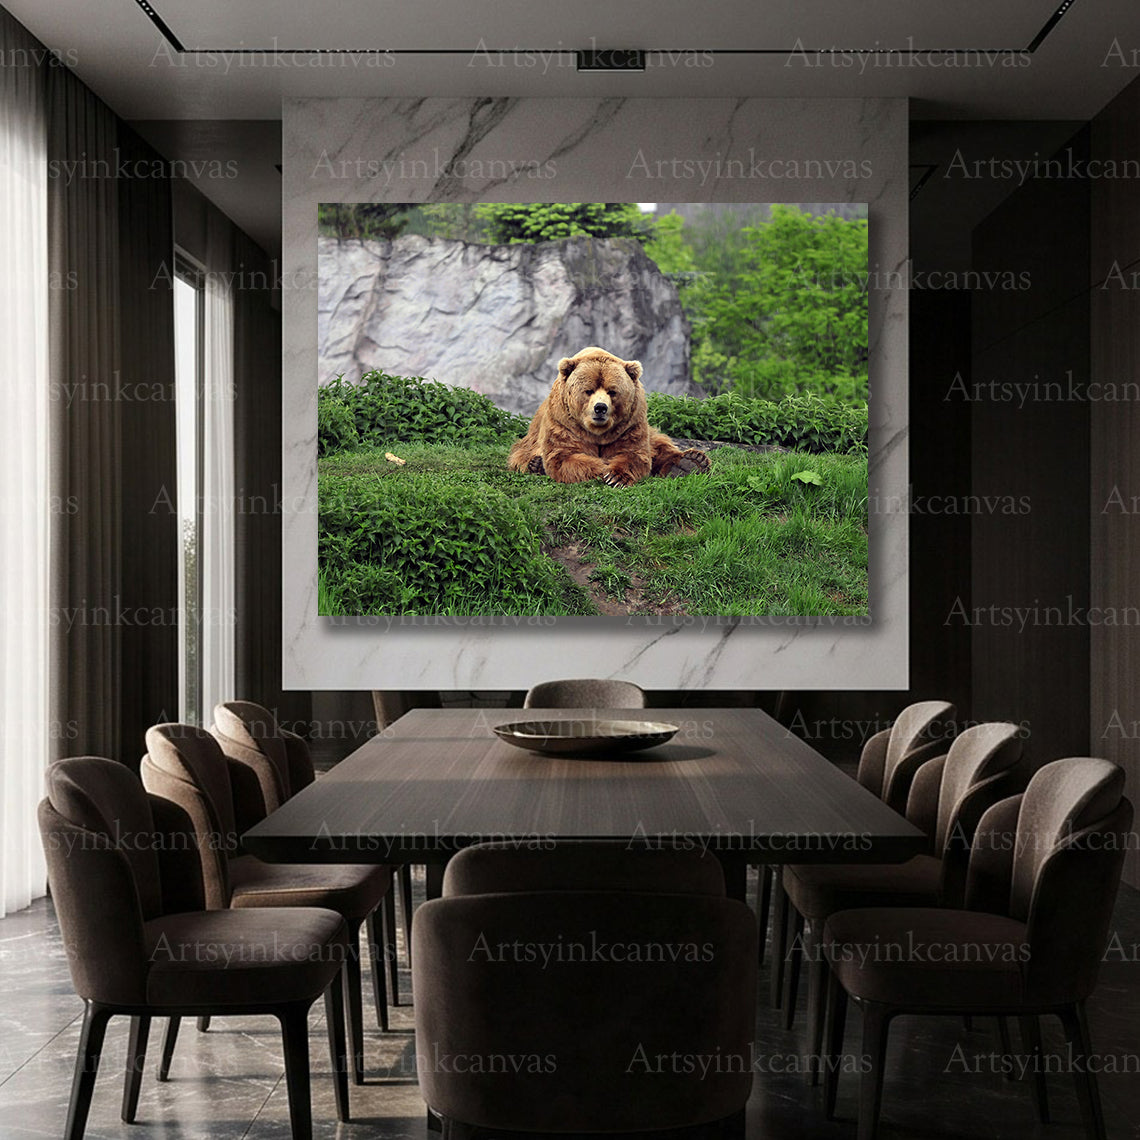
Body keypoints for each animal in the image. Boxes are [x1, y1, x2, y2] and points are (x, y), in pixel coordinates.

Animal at [508, 346, 711, 486]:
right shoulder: (563, 424)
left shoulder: (630, 426)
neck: (597, 432)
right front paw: (602, 469)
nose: (600, 408)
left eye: (612, 391)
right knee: (522, 455)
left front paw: (616, 476)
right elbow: (565, 456)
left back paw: (690, 462)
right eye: (588, 390)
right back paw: (535, 465)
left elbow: (634, 454)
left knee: (660, 444)